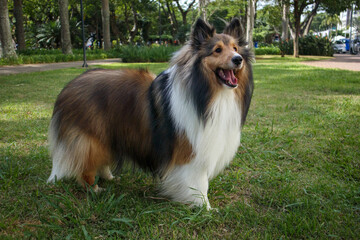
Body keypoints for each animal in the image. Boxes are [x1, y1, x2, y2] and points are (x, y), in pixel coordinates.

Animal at [47, 19, 255, 210]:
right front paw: (205, 208)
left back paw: (109, 177)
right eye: (217, 50)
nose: (238, 59)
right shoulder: (191, 153)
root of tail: (68, 87)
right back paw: (94, 189)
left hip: (107, 135)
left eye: (235, 48)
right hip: (91, 139)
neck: (209, 94)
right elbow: (199, 183)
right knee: (85, 167)